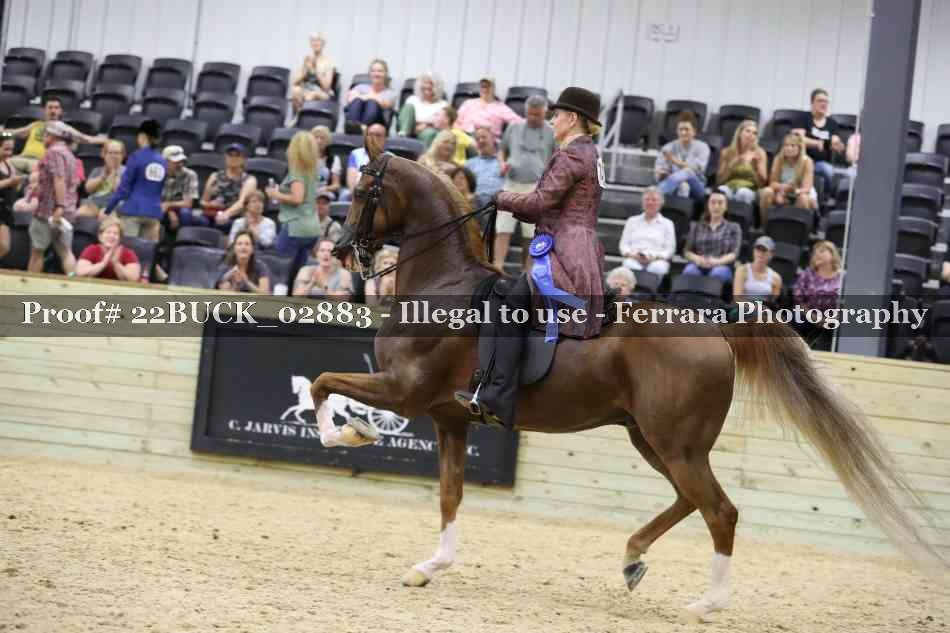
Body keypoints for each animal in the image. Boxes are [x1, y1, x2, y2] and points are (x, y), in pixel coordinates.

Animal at [310, 137, 942, 621]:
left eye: (363, 191)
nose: (339, 251)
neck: (443, 288)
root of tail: (716, 329)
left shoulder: (405, 391)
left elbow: (322, 383)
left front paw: (350, 433)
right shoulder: (448, 418)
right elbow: (449, 494)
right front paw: (429, 567)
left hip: (676, 444)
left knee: (719, 510)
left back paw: (706, 604)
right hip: (653, 439)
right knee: (691, 500)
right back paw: (634, 557)